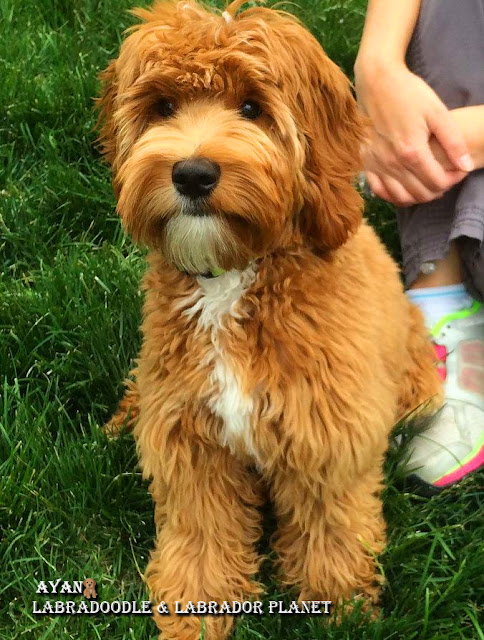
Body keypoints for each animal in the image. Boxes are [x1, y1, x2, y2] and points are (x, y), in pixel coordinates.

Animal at [97, 1, 442, 636]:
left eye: (253, 108)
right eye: (163, 107)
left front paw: (339, 608)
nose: (192, 174)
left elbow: (331, 528)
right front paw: (195, 612)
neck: (233, 278)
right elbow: (201, 532)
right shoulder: (192, 441)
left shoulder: (326, 436)